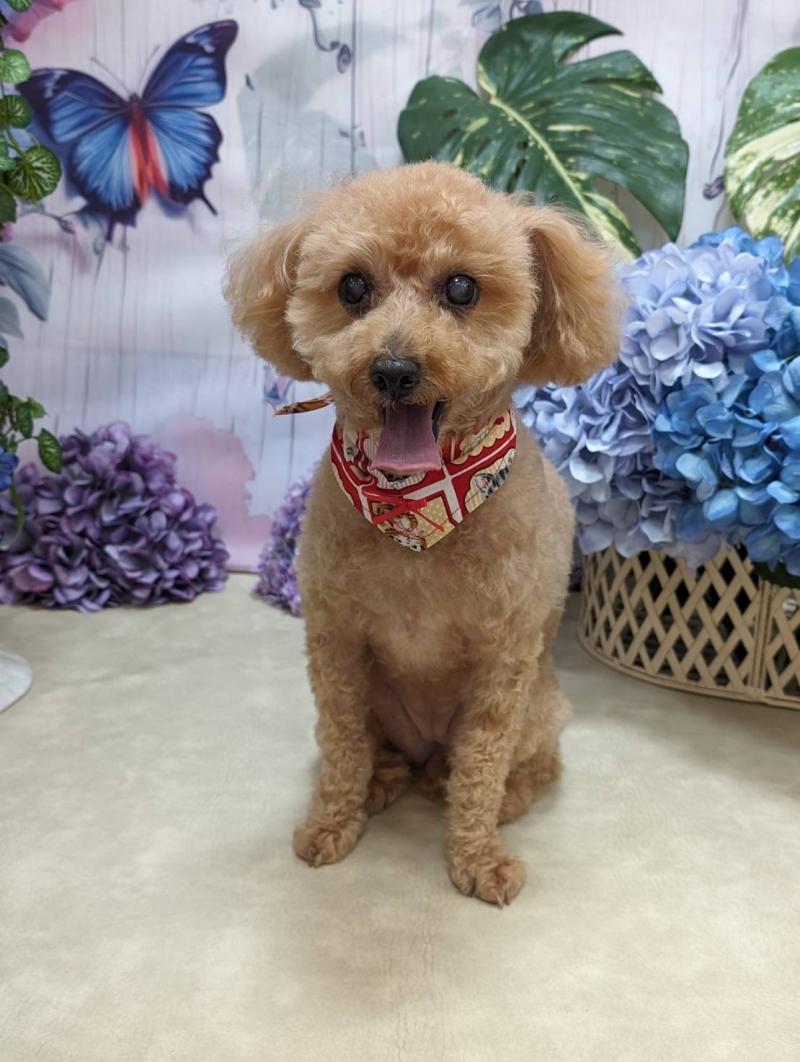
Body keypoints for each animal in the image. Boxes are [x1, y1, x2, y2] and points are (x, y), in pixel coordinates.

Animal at [226, 161, 620, 905]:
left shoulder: (504, 660)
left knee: (526, 765)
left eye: (461, 287)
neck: (416, 513)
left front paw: (478, 857)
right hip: (381, 706)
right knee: (373, 751)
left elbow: (483, 766)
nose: (394, 370)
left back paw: (487, 794)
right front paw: (332, 822)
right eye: (353, 286)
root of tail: (425, 748)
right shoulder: (335, 643)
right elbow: (343, 747)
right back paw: (383, 782)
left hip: (540, 705)